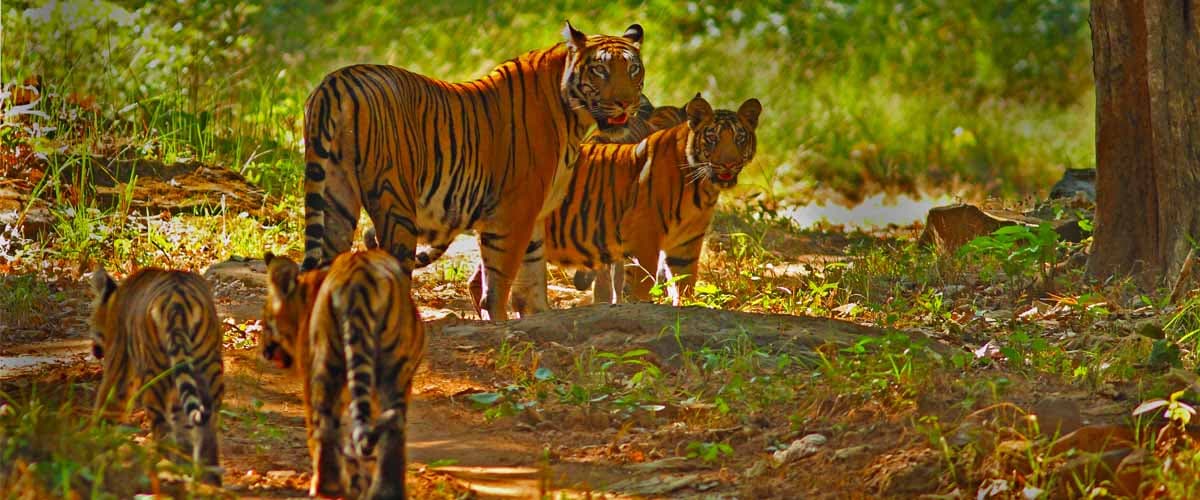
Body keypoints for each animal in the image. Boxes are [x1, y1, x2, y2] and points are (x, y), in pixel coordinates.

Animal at [88, 266, 224, 486]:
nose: (94, 350)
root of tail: (178, 305)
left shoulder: (119, 366)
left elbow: (106, 406)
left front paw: (93, 439)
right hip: (209, 371)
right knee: (206, 431)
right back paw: (208, 480)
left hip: (154, 379)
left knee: (163, 431)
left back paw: (165, 470)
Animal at [262, 249, 426, 500]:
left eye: (264, 323)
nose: (264, 351)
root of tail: (360, 278)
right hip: (395, 369)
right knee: (394, 426)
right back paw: (387, 491)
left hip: (323, 365)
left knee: (324, 425)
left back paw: (326, 487)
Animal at [301, 21, 646, 321]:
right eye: (600, 70)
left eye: (633, 69)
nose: (626, 103)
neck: (574, 116)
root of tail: (337, 81)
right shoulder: (513, 212)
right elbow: (498, 285)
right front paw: (501, 325)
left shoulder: (535, 215)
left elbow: (532, 280)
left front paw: (539, 317)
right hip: (393, 200)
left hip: (336, 196)